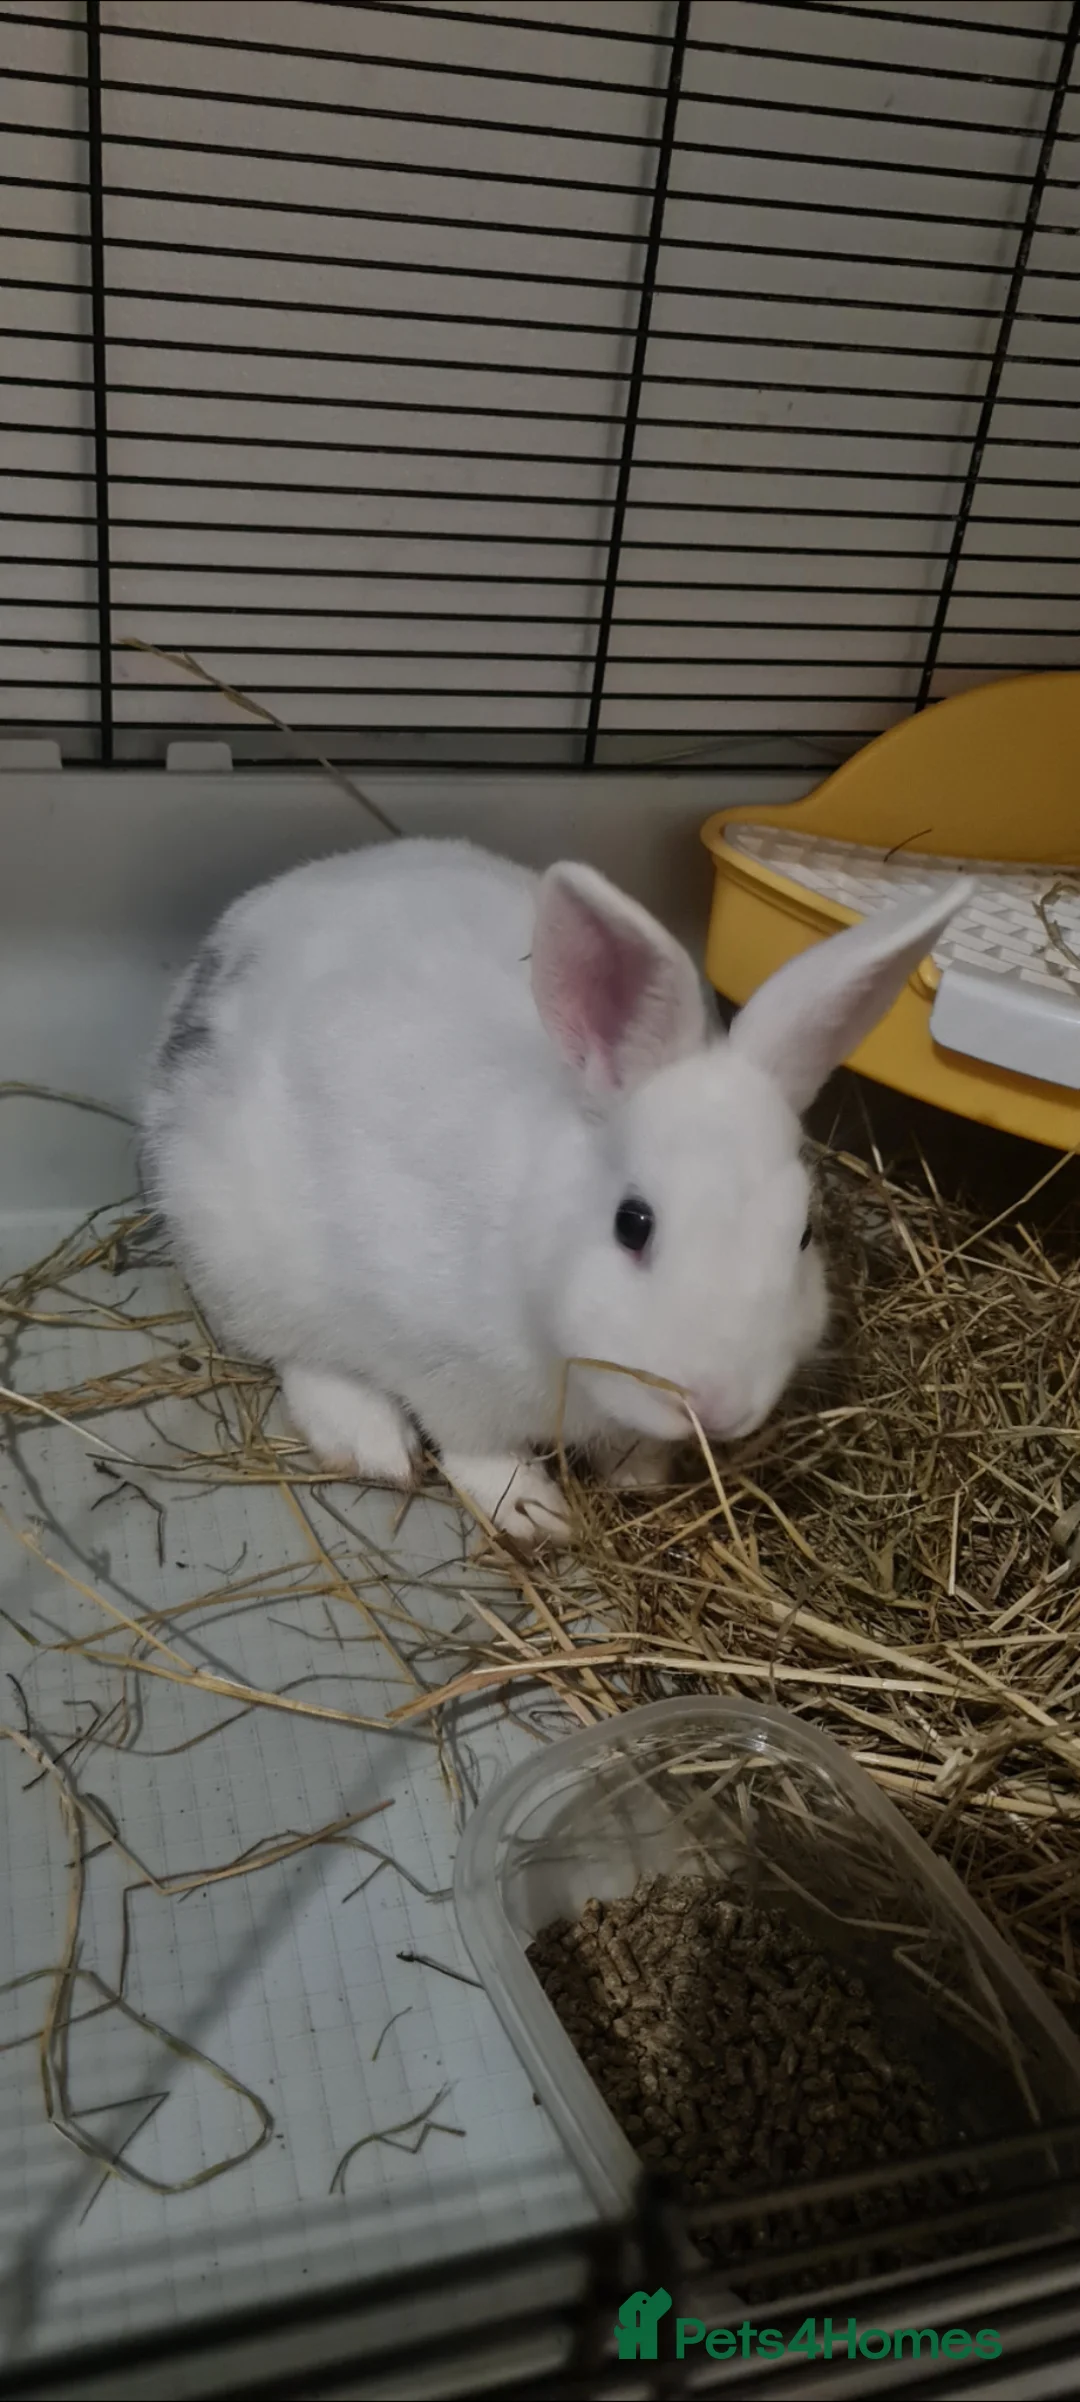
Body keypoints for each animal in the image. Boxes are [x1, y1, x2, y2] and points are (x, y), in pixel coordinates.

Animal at [142, 838, 972, 1549]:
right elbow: (476, 1448)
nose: (716, 1405)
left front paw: (640, 1478)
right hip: (238, 1255)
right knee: (296, 1356)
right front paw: (535, 1513)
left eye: (802, 1235)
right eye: (632, 1223)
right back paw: (372, 1442)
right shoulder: (438, 1364)